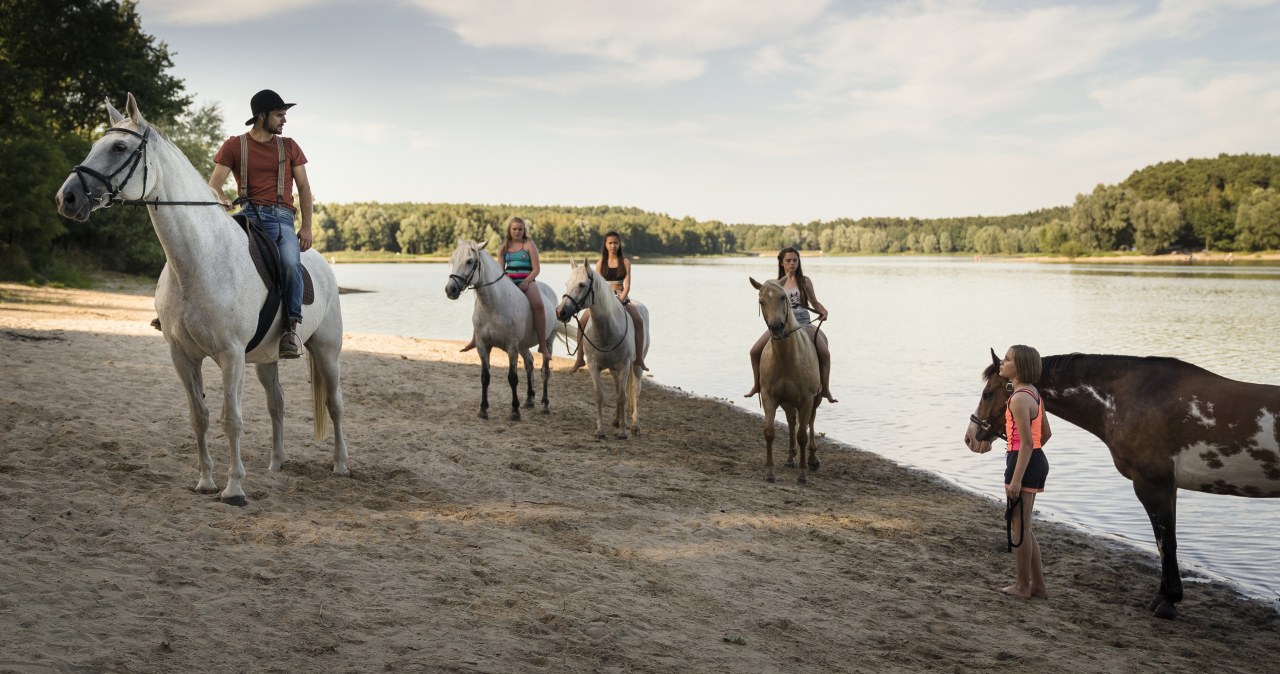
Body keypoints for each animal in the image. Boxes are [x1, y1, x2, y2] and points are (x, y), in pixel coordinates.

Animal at [54, 94, 348, 506]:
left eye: (119, 148)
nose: (67, 197)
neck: (199, 260)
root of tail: (320, 263)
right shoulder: (182, 355)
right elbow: (200, 416)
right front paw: (206, 481)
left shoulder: (230, 355)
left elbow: (232, 419)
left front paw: (234, 488)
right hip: (266, 358)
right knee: (277, 403)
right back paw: (276, 464)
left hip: (326, 350)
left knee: (334, 404)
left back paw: (341, 465)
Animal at [445, 236, 555, 416]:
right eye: (453, 260)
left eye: (469, 261)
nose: (450, 289)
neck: (494, 305)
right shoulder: (483, 346)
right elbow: (485, 377)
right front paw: (483, 409)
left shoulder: (512, 347)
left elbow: (512, 378)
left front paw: (515, 410)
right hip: (523, 345)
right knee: (529, 363)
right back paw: (529, 399)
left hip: (548, 341)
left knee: (545, 371)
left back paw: (545, 404)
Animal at [555, 258, 650, 437]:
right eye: (566, 284)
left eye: (582, 285)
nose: (560, 312)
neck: (606, 330)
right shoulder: (594, 366)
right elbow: (600, 396)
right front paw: (600, 430)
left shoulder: (624, 365)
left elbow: (623, 397)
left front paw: (623, 432)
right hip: (613, 369)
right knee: (618, 387)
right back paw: (617, 420)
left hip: (636, 366)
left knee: (635, 391)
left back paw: (635, 426)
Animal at [747, 277, 819, 483]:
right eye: (761, 301)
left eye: (783, 297)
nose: (777, 327)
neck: (787, 358)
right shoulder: (769, 397)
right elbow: (769, 432)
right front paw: (770, 472)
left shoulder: (806, 400)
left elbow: (802, 435)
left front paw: (802, 474)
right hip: (787, 402)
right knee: (792, 421)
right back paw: (789, 458)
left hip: (816, 399)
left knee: (810, 423)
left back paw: (812, 459)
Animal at [962, 350, 1274, 619]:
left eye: (987, 393)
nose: (970, 437)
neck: (1132, 396)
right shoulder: (1167, 486)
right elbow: (1168, 540)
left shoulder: (1152, 485)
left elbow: (1166, 543)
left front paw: (1167, 600)